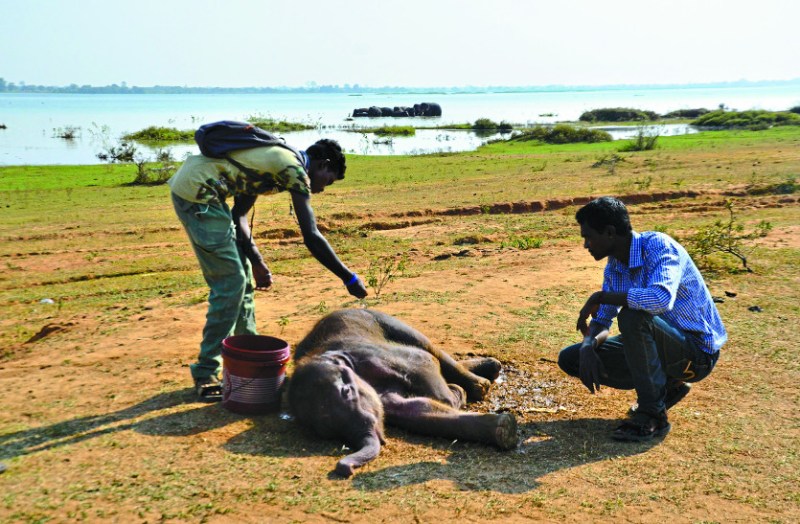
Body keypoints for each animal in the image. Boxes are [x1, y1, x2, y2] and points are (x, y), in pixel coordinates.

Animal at [287, 308, 518, 477]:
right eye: (327, 431)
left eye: (347, 392)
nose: (345, 469)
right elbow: (416, 411)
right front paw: (504, 428)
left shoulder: (370, 354)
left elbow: (425, 363)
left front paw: (457, 393)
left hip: (383, 320)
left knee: (430, 349)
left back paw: (482, 383)